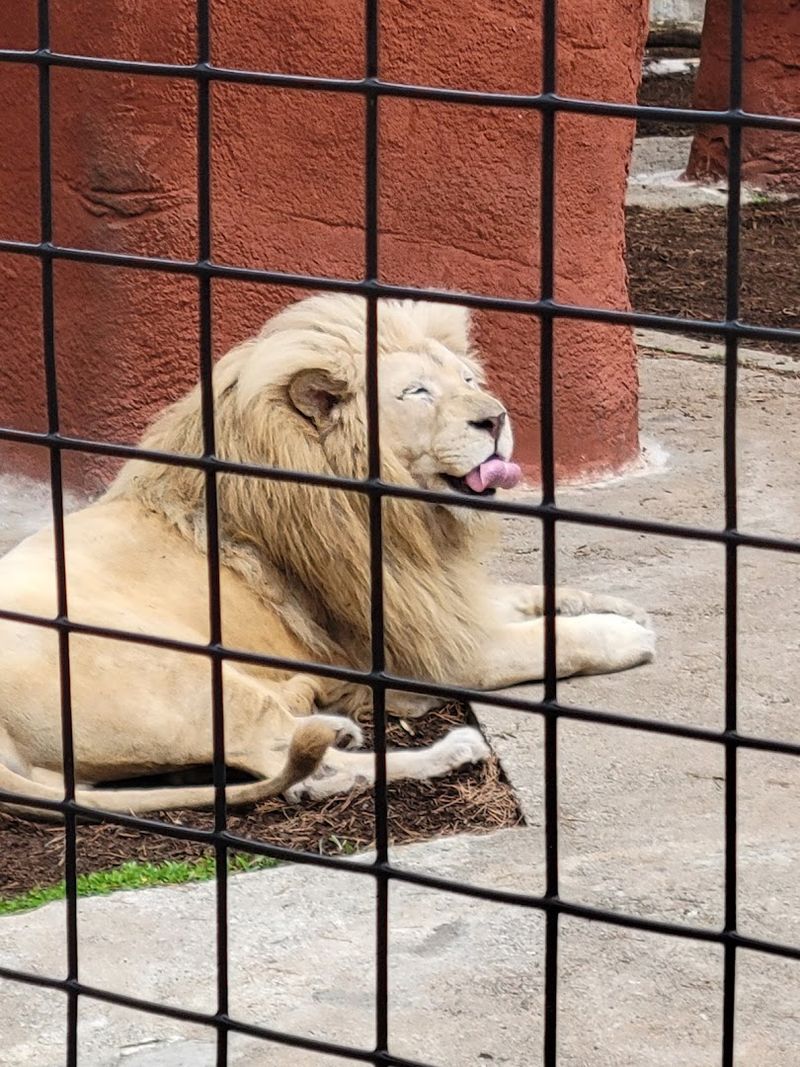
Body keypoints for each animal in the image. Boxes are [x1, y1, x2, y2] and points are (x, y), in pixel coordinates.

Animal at [0, 294, 654, 819]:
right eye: (417, 392)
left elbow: (527, 595)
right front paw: (625, 635)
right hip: (174, 671)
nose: (495, 419)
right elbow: (550, 640)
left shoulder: (436, 597)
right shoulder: (441, 650)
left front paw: (622, 606)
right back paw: (442, 749)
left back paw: (327, 713)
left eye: (469, 380)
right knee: (289, 766)